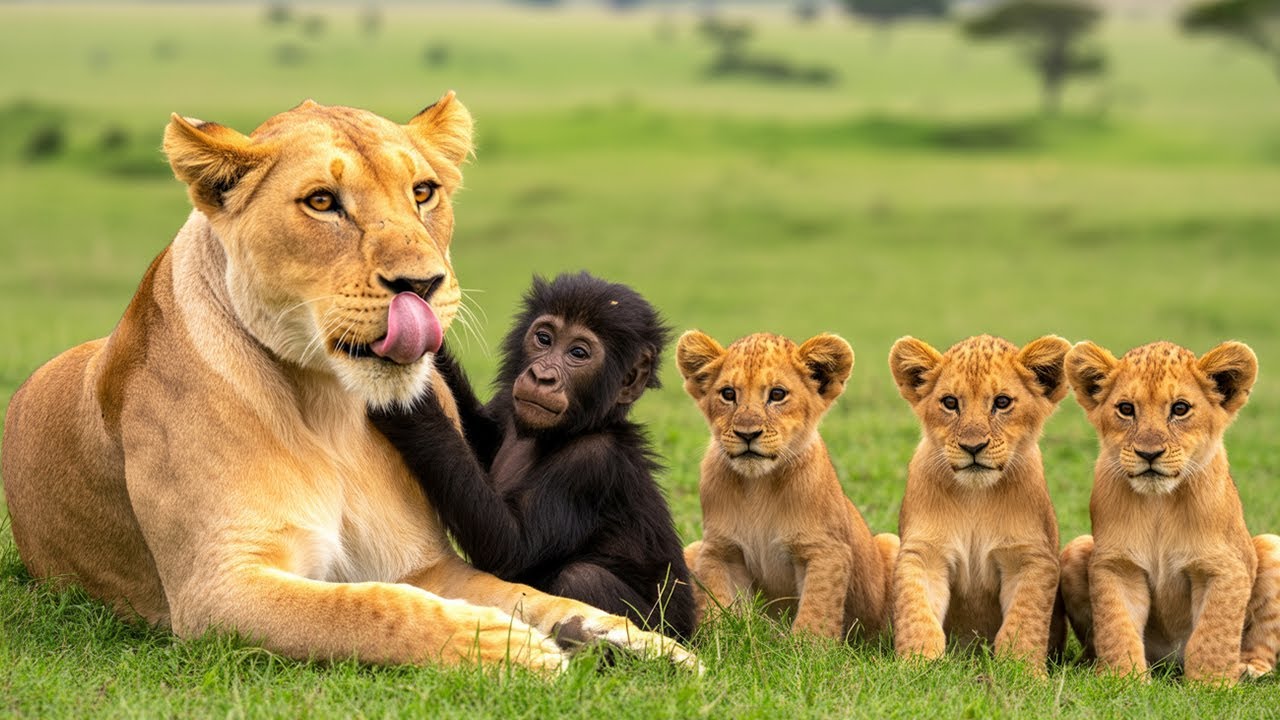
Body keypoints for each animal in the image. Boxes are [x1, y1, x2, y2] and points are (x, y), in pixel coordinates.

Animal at [371, 272, 697, 640]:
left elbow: (511, 545)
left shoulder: (590, 463)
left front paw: (405, 398)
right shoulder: (505, 408)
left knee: (583, 579)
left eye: (578, 352)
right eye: (543, 338)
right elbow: (477, 432)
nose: (542, 376)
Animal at [676, 331, 899, 641]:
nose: (747, 434)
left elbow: (817, 608)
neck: (758, 485)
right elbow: (718, 603)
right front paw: (721, 640)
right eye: (728, 394)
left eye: (777, 395)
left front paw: (806, 647)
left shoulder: (825, 550)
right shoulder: (720, 549)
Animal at [887, 334, 1069, 672]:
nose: (973, 447)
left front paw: (1022, 671)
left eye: (1002, 402)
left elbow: (1024, 620)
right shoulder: (925, 552)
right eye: (949, 403)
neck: (976, 497)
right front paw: (918, 666)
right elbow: (917, 612)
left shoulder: (1029, 557)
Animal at [1059, 340, 1280, 685]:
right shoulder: (1118, 564)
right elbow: (1117, 625)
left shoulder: (1223, 566)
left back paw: (1249, 667)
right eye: (1126, 409)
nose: (1149, 453)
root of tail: (1171, 661)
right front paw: (1124, 679)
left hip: (1272, 546)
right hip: (1075, 549)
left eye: (1180, 409)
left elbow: (1214, 632)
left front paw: (1210, 684)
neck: (1159, 504)